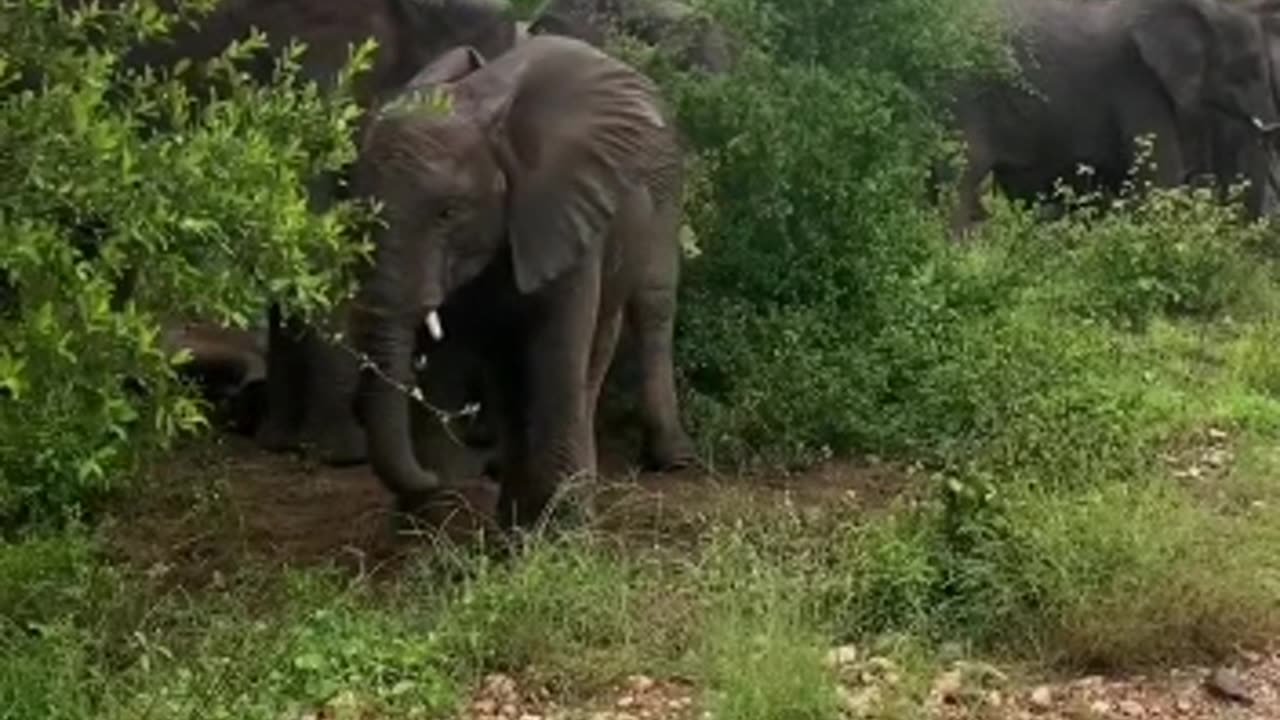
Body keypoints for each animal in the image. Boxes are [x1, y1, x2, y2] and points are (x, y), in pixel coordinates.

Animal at [345, 35, 696, 527]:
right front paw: (437, 525)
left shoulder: (563, 215)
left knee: (650, 306)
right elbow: (452, 355)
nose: (430, 479)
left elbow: (555, 348)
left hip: (666, 184)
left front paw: (562, 529)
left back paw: (668, 461)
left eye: (449, 212)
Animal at [947, 0, 1280, 234]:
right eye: (1247, 67)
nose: (1271, 127)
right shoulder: (1134, 79)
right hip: (964, 98)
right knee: (960, 177)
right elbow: (1159, 178)